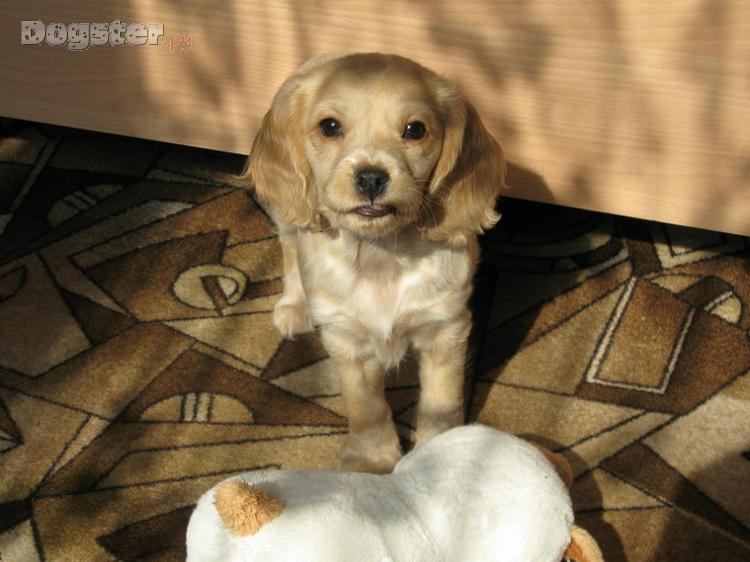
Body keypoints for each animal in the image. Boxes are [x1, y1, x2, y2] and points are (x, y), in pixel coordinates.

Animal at [247, 53, 505, 473]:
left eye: (415, 130)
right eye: (330, 126)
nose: (370, 177)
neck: (380, 255)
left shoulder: (445, 328)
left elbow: (441, 403)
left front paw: (438, 454)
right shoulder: (345, 339)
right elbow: (365, 407)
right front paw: (371, 461)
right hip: (287, 213)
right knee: (289, 247)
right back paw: (294, 305)